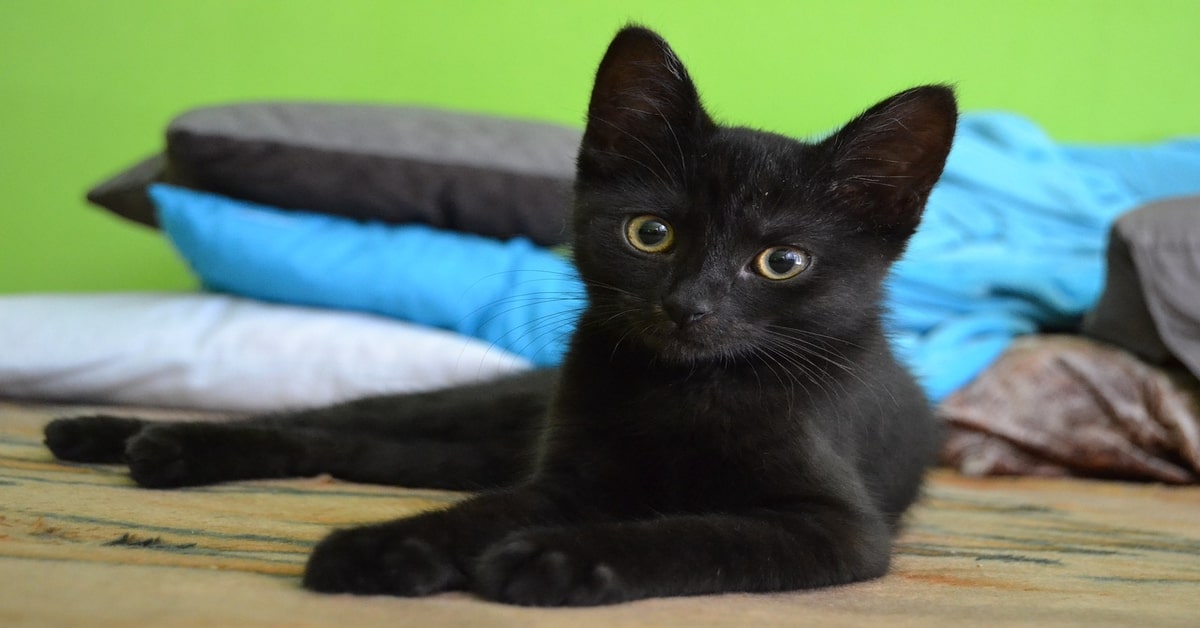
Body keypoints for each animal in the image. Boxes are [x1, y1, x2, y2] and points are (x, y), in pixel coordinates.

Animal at [46, 27, 955, 607]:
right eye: (650, 233)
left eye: (781, 262)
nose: (688, 306)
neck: (685, 393)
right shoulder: (569, 479)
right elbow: (487, 513)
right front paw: (384, 547)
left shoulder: (836, 528)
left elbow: (698, 534)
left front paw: (553, 560)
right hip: (469, 414)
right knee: (322, 420)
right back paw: (118, 434)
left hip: (452, 452)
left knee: (351, 445)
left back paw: (142, 446)